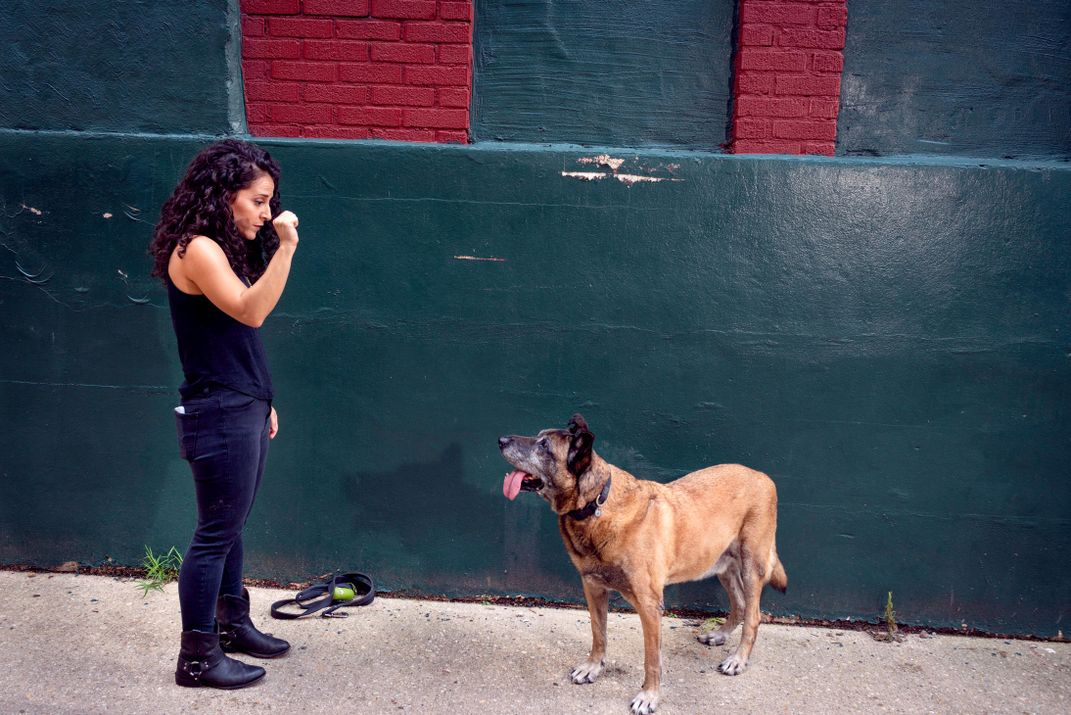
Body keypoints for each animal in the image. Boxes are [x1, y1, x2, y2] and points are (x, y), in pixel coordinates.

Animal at [499, 415, 788, 710]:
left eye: (544, 446)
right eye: (539, 437)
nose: (501, 440)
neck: (596, 503)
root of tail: (762, 476)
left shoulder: (649, 606)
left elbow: (652, 660)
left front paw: (649, 696)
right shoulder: (593, 588)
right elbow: (598, 634)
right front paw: (593, 667)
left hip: (751, 565)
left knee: (753, 615)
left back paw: (738, 659)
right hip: (721, 564)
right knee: (739, 604)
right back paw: (719, 635)